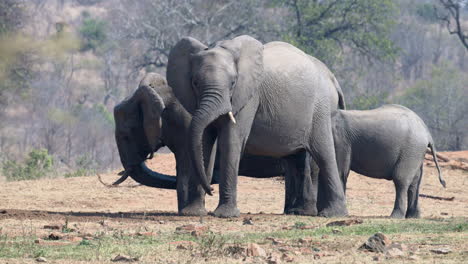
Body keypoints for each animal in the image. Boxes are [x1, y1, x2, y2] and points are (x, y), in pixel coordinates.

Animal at [168, 35, 348, 218]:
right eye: (195, 83)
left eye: (233, 83)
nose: (211, 189)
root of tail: (333, 79)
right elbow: (204, 142)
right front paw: (192, 213)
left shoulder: (249, 96)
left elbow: (231, 140)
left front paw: (225, 215)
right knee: (297, 158)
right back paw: (300, 212)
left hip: (320, 109)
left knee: (324, 154)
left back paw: (332, 214)